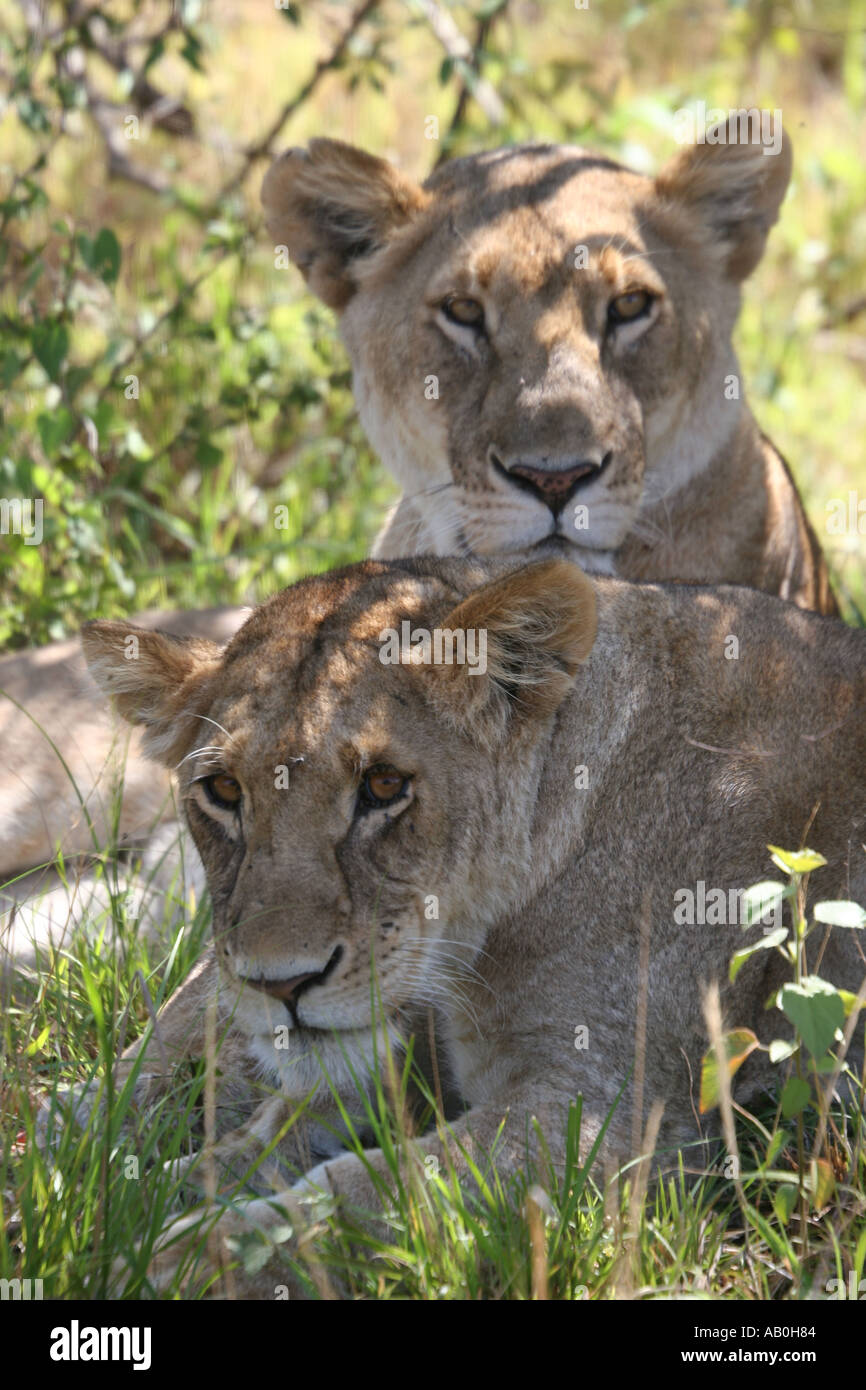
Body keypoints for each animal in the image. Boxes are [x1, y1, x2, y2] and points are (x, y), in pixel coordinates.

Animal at [79, 556, 865, 1297]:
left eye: (384, 785)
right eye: (221, 790)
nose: (280, 985)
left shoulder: (609, 1112)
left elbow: (370, 1191)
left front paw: (173, 1263)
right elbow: (261, 1140)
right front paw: (108, 1200)